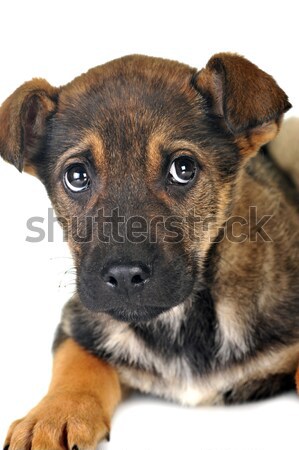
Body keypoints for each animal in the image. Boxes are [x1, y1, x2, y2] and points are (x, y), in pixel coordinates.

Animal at [0, 53, 299, 450]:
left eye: (183, 169)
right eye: (76, 176)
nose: (125, 277)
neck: (182, 323)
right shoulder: (79, 320)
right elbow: (76, 364)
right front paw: (51, 416)